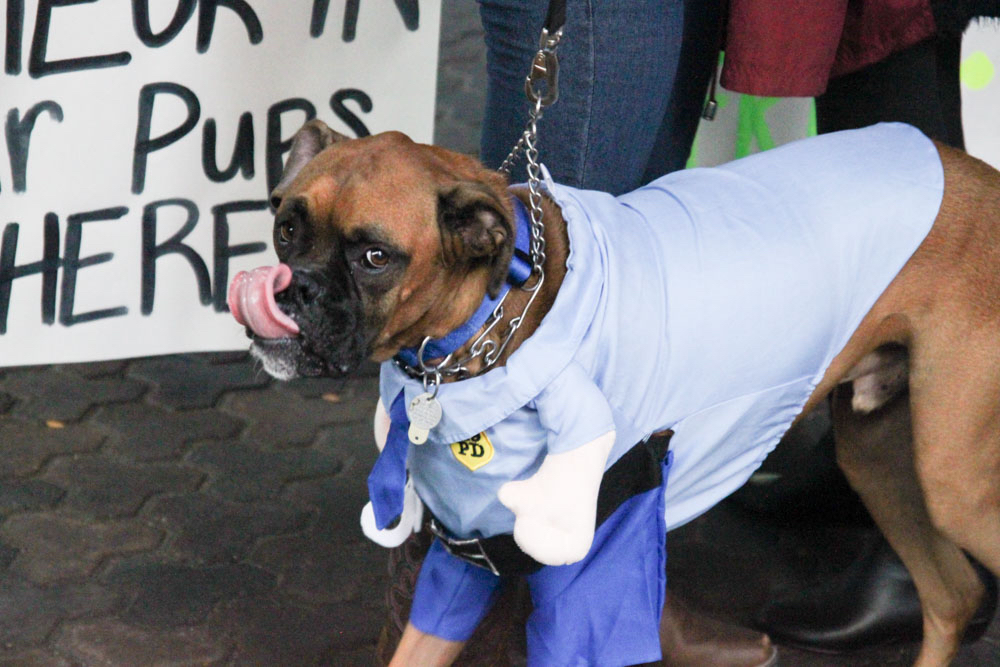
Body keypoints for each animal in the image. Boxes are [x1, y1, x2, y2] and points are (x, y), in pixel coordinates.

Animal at [229, 121, 1000, 667]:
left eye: (374, 256)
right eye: (287, 226)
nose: (291, 289)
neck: (484, 337)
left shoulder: (587, 592)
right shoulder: (461, 567)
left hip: (956, 484)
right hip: (882, 457)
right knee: (953, 597)